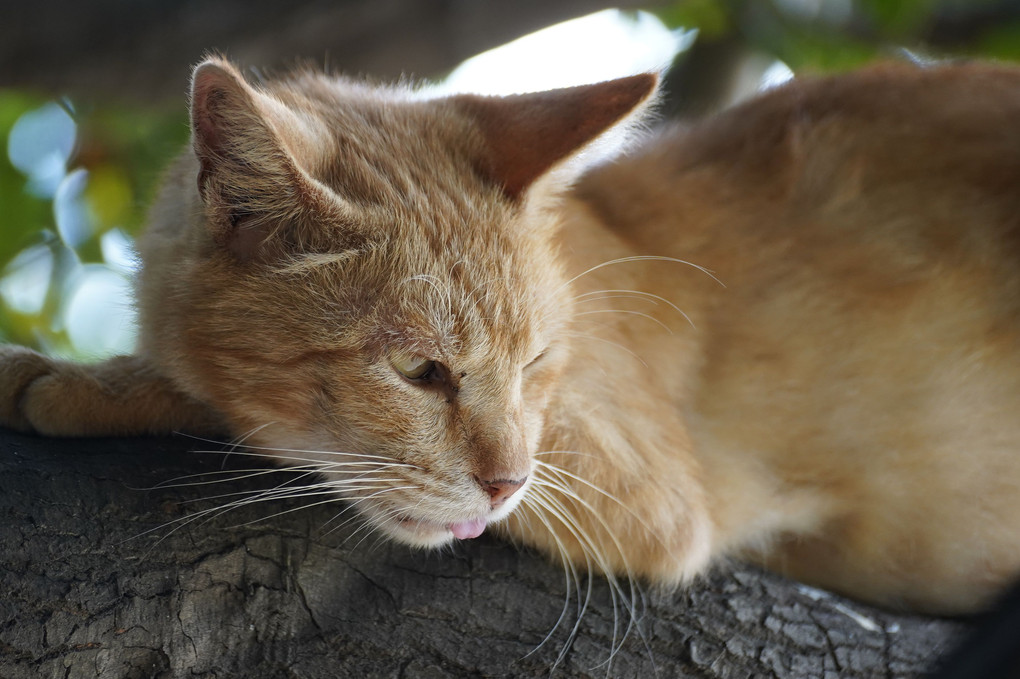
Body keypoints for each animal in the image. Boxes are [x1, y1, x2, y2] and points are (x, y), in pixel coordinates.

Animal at [1, 55, 1020, 611]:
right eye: (420, 369)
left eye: (534, 364)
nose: (505, 484)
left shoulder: (651, 489)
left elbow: (235, 406)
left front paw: (88, 378)